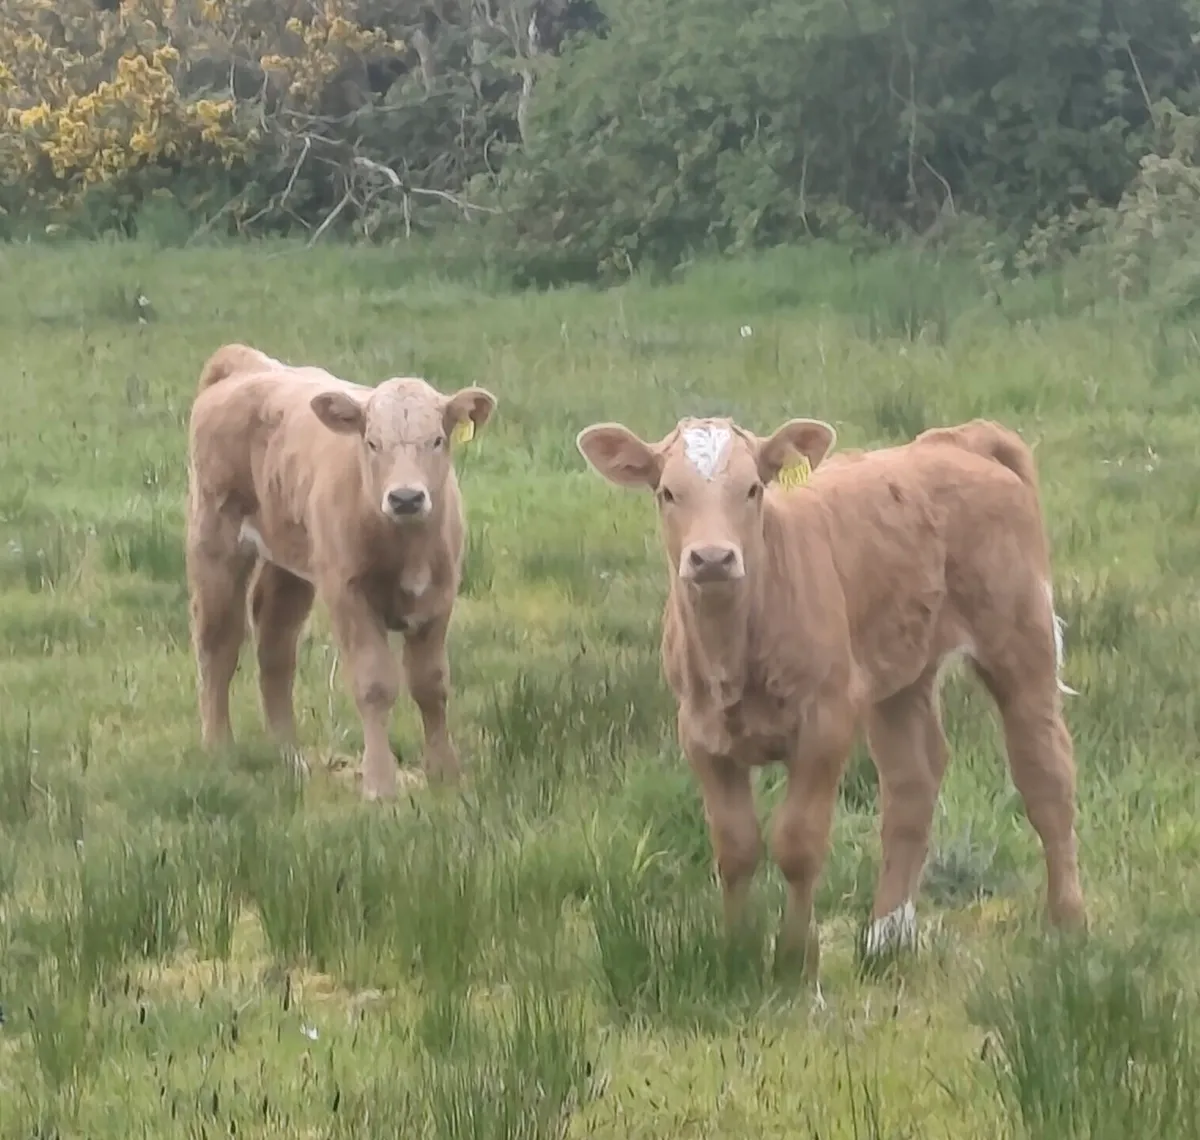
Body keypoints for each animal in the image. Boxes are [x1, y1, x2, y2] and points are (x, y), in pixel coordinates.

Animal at [185, 343, 497, 800]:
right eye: (372, 442)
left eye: (437, 440)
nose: (406, 498)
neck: (405, 546)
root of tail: (244, 363)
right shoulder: (347, 594)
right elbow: (374, 685)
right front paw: (380, 785)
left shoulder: (440, 597)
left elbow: (431, 684)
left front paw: (444, 773)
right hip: (215, 540)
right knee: (217, 643)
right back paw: (218, 747)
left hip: (290, 564)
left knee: (275, 647)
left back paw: (288, 755)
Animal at [576, 412, 1086, 986]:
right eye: (667, 492)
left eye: (752, 489)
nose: (712, 558)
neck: (736, 650)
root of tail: (961, 438)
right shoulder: (701, 737)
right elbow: (735, 847)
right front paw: (737, 948)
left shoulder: (825, 726)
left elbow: (797, 844)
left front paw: (796, 958)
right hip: (899, 674)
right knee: (912, 783)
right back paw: (886, 936)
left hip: (1020, 642)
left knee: (1046, 776)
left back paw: (1067, 922)